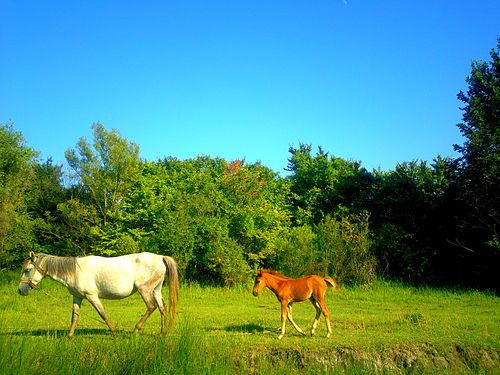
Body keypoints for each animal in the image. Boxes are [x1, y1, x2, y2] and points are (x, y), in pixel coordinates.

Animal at [19, 253, 180, 338]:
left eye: (27, 270)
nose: (20, 291)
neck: (75, 271)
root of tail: (160, 257)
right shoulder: (77, 297)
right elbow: (75, 316)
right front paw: (70, 336)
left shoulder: (92, 296)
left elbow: (102, 314)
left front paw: (115, 332)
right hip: (156, 290)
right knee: (162, 307)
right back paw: (163, 332)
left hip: (145, 290)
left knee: (151, 306)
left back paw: (136, 329)